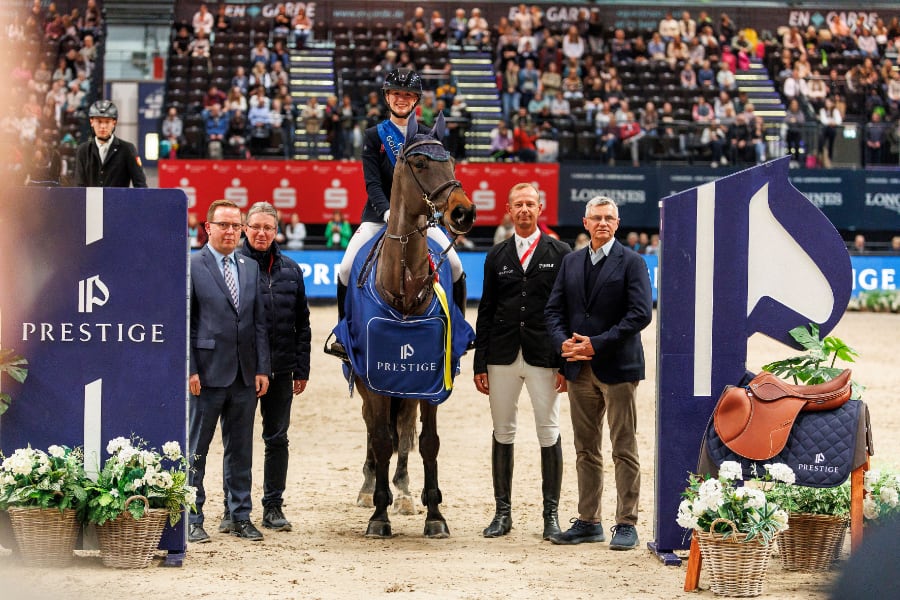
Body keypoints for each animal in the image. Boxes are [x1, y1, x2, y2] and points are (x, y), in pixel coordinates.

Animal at [332, 115, 474, 536]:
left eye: (452, 161)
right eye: (421, 163)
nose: (464, 213)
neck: (405, 293)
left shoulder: (432, 378)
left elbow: (427, 441)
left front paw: (434, 513)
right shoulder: (373, 375)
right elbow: (381, 438)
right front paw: (378, 513)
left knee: (406, 428)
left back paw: (407, 491)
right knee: (373, 427)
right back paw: (369, 488)